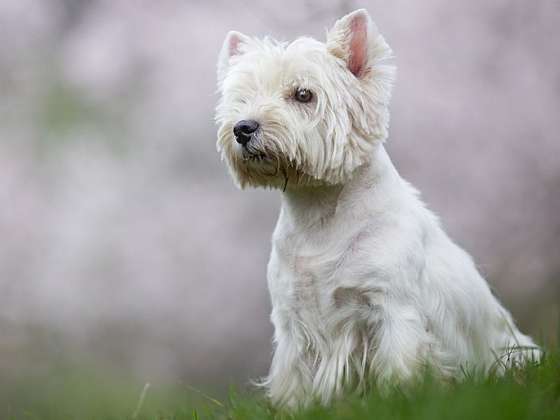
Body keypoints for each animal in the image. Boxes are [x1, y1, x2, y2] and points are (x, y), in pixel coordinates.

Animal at [214, 8, 540, 408]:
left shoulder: (392, 308)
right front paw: (295, 407)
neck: (318, 215)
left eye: (303, 94)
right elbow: (294, 378)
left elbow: (401, 365)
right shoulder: (293, 320)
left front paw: (402, 397)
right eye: (242, 99)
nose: (243, 128)